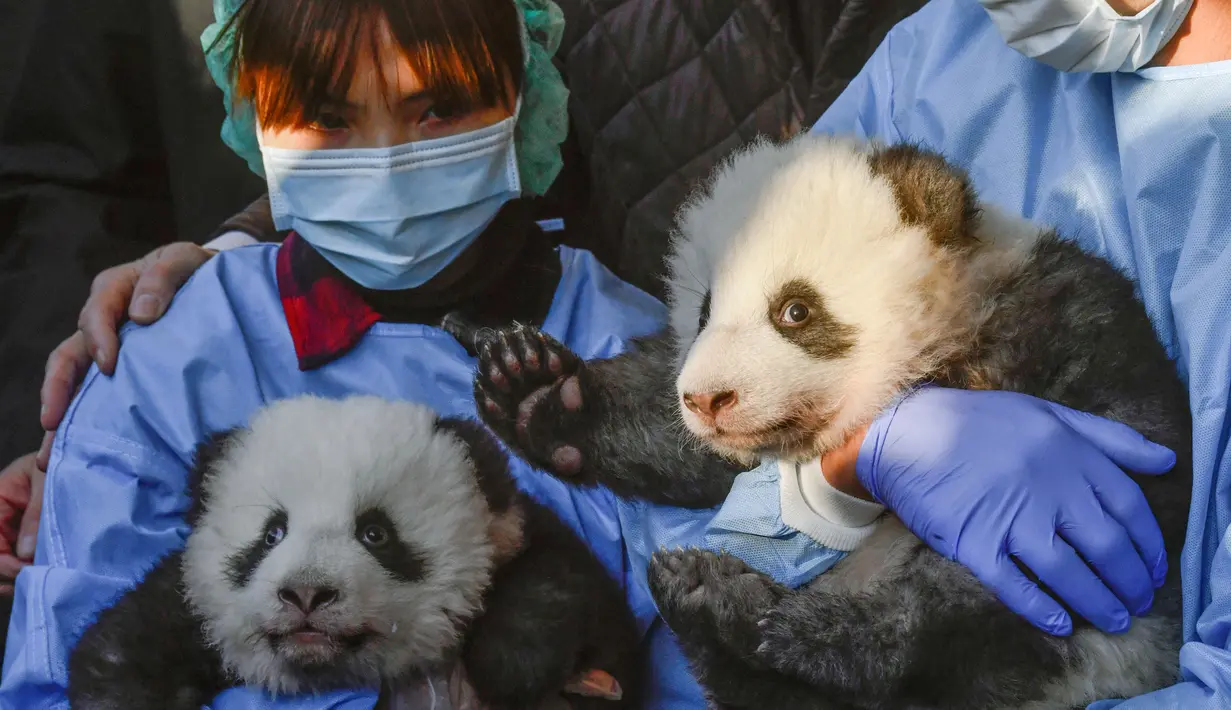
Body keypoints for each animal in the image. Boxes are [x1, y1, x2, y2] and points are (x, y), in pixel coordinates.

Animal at [66, 395, 642, 710]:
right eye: (272, 534)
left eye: (375, 534)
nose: (306, 594)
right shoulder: (193, 610)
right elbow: (128, 644)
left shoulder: (514, 532)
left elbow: (568, 588)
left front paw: (513, 663)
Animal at [452, 134, 1193, 709]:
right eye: (704, 312)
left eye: (795, 310)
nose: (705, 398)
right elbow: (697, 455)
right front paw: (539, 395)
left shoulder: (1058, 321)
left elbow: (1113, 471)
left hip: (1081, 646)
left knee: (944, 623)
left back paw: (746, 612)